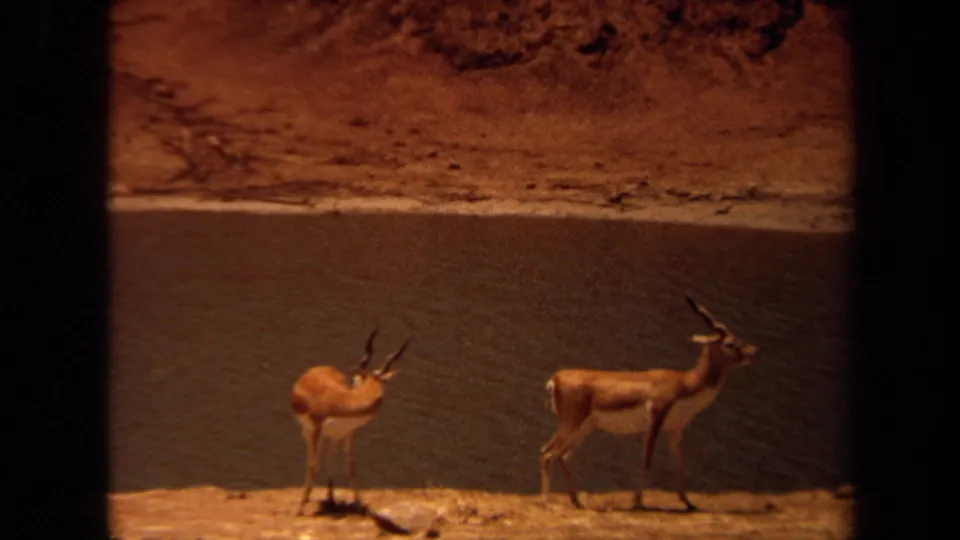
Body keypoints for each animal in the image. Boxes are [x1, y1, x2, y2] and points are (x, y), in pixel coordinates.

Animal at [291, 328, 412, 516]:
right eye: (355, 380)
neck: (341, 402)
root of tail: (316, 369)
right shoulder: (317, 428)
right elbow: (313, 464)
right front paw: (300, 508)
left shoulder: (349, 431)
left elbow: (351, 466)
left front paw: (360, 504)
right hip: (309, 431)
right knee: (312, 458)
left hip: (333, 436)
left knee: (331, 457)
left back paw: (331, 500)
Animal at [539, 295, 758, 511]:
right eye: (730, 343)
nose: (752, 352)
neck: (686, 382)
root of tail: (556, 379)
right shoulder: (656, 418)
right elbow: (647, 459)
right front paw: (638, 502)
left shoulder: (676, 428)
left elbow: (679, 462)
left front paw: (688, 503)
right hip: (571, 423)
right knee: (547, 452)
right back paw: (547, 503)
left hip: (586, 427)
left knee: (562, 455)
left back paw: (577, 501)